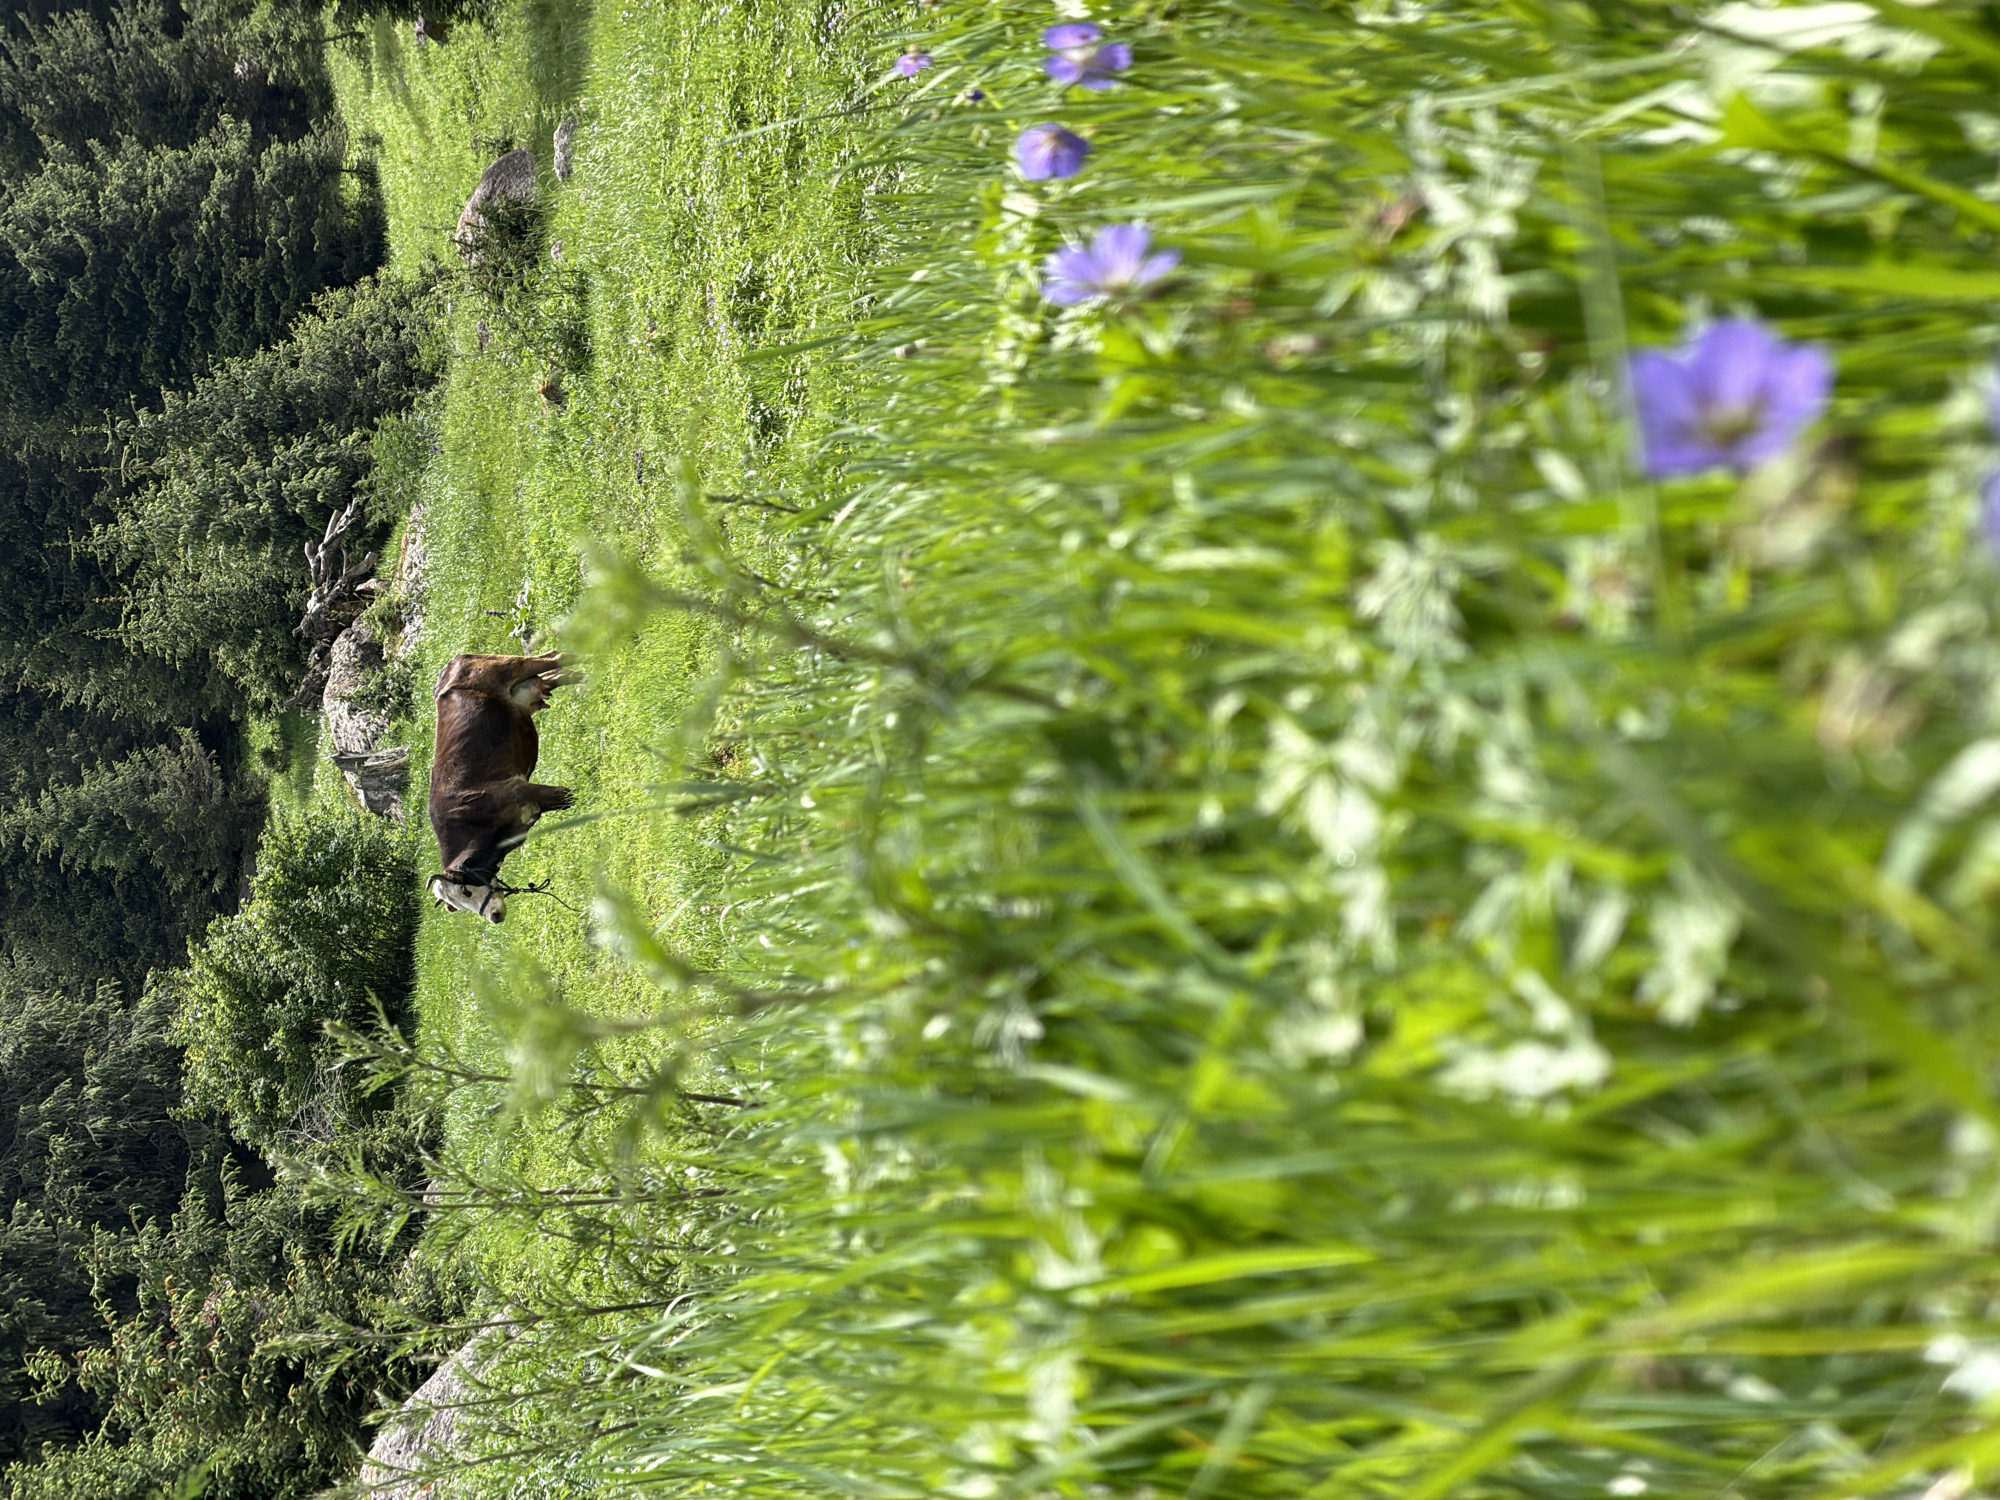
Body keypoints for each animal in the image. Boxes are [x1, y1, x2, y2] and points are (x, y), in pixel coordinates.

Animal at [427, 652, 577, 923]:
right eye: (461, 907)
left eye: (465, 890)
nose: (494, 917)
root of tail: (453, 663)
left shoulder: (521, 789)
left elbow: (570, 796)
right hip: (524, 691)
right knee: (556, 674)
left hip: (512, 666)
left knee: (557, 658)